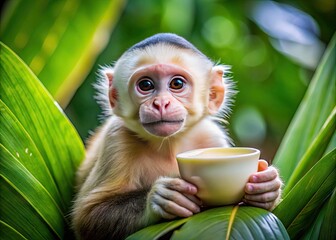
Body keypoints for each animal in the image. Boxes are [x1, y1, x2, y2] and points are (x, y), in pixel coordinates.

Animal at [72, 33, 282, 240]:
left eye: (177, 83)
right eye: (145, 85)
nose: (160, 103)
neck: (168, 145)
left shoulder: (211, 137)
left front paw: (267, 187)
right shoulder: (117, 138)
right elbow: (88, 217)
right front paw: (159, 199)